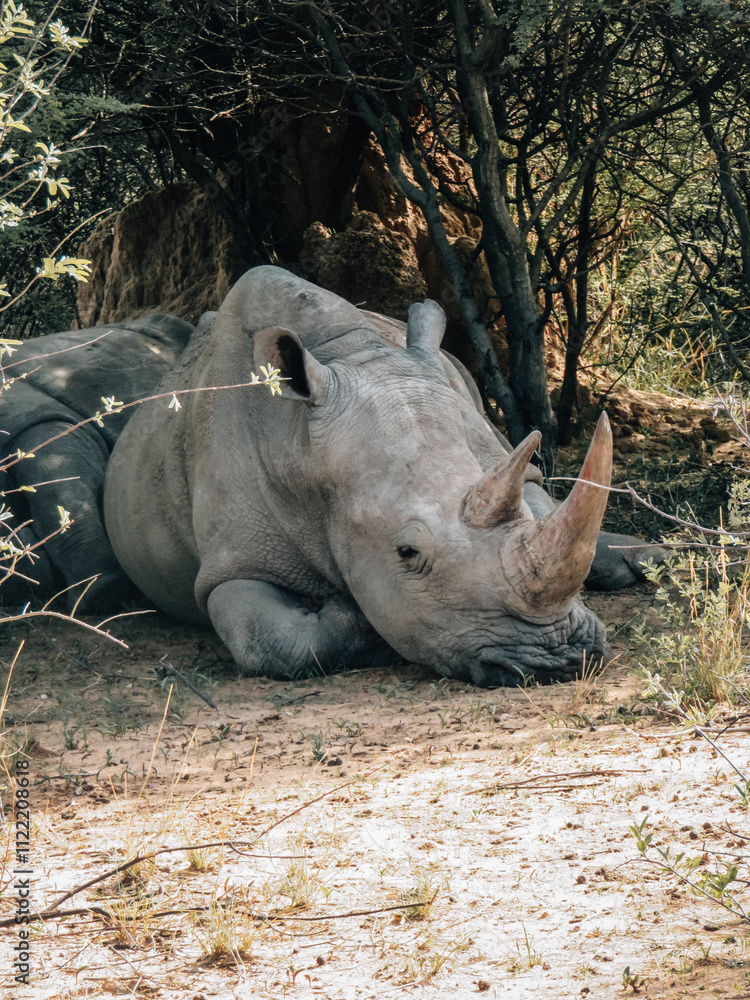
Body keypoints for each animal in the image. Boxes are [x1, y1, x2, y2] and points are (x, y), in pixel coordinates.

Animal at [103, 266, 663, 686]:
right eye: (406, 552)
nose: (563, 659)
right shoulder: (234, 562)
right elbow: (274, 644)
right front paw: (353, 613)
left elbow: (533, 496)